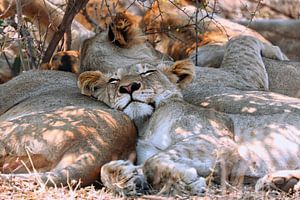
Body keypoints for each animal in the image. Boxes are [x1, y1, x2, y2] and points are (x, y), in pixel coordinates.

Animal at [78, 35, 300, 195]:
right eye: (114, 80)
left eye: (147, 72)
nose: (128, 87)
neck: (146, 124)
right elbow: (106, 170)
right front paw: (127, 176)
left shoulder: (214, 141)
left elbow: (153, 162)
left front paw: (187, 183)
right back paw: (280, 181)